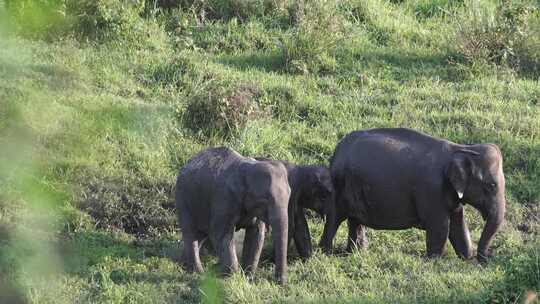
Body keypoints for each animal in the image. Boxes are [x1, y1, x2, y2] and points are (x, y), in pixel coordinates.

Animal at [176, 146, 292, 284]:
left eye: (289, 196)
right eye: (265, 199)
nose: (280, 282)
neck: (247, 167)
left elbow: (256, 234)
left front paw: (248, 277)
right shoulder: (224, 198)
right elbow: (220, 234)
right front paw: (232, 278)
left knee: (200, 235)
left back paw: (183, 266)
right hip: (182, 200)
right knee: (191, 233)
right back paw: (197, 273)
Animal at [318, 127, 504, 262]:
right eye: (491, 186)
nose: (486, 258)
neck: (461, 149)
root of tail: (337, 150)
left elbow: (458, 224)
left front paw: (466, 258)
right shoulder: (432, 189)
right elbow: (441, 225)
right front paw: (434, 261)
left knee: (354, 220)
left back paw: (356, 253)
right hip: (339, 186)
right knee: (335, 218)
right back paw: (325, 253)